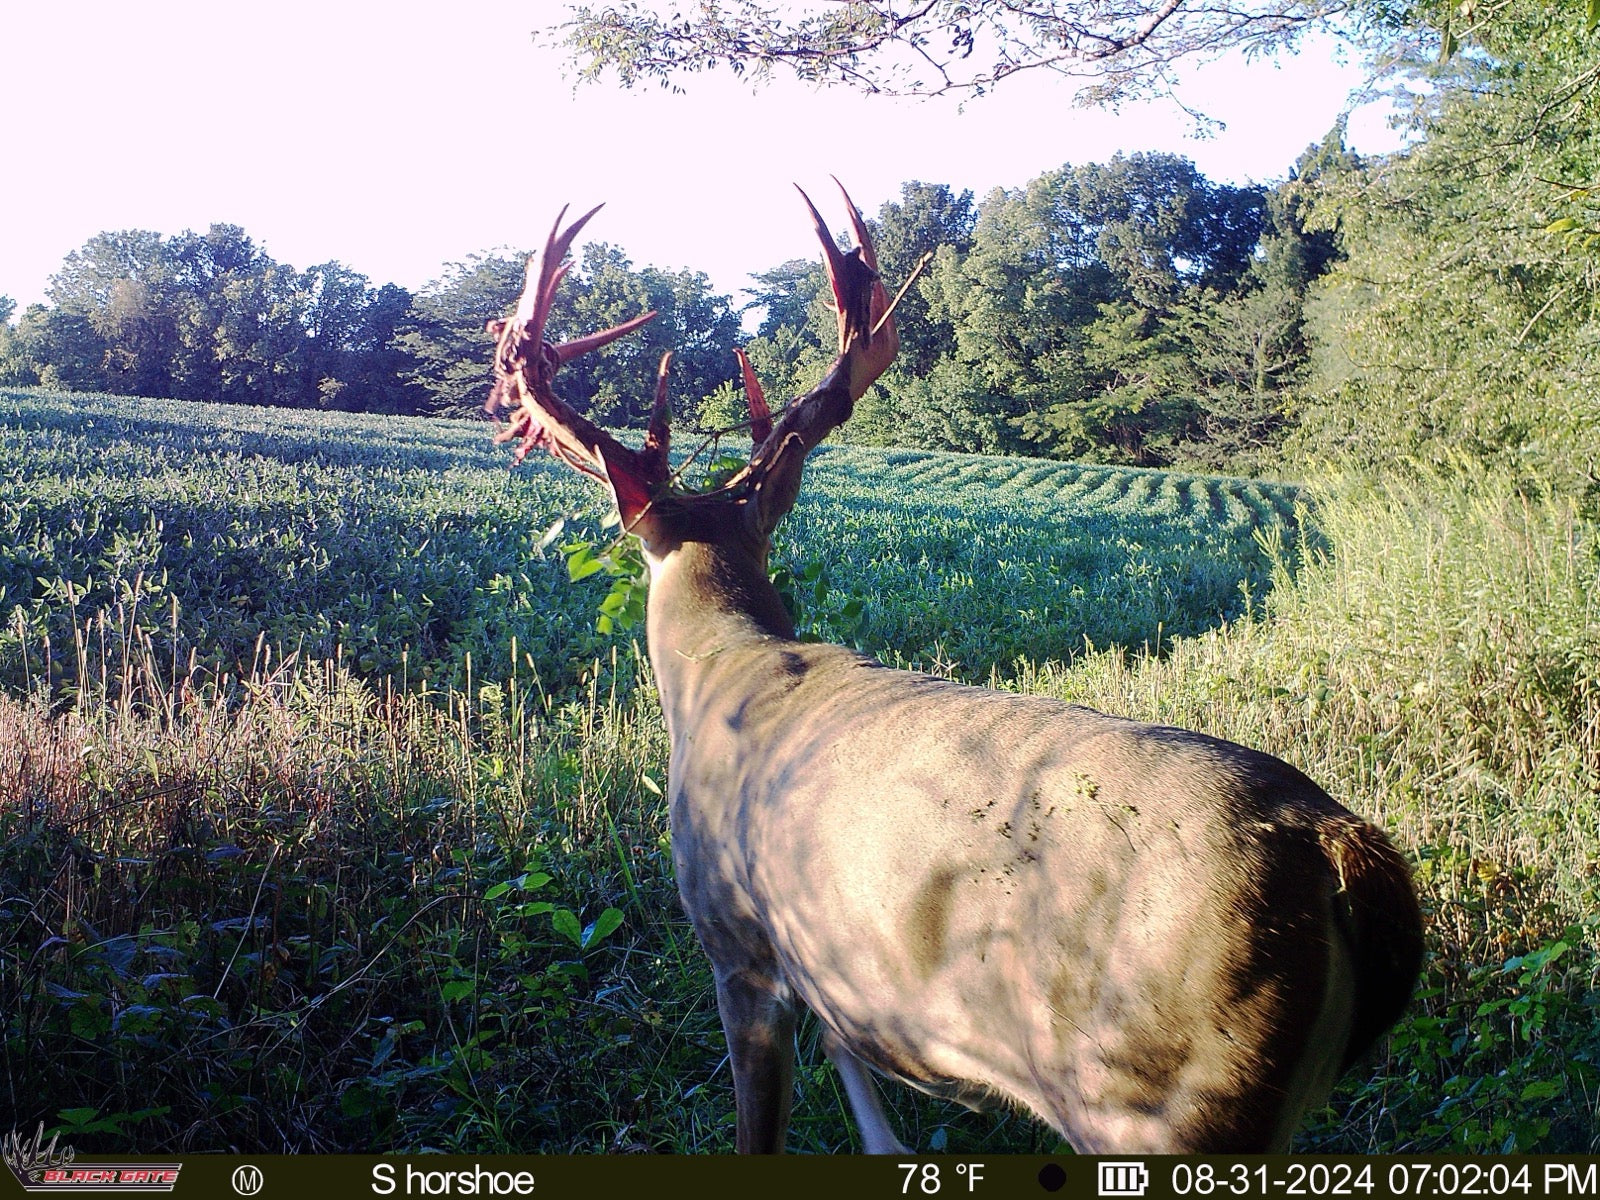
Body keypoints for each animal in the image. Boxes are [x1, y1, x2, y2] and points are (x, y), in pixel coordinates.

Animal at [485, 184, 1424, 1155]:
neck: (725, 668)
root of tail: (1340, 848)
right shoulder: (829, 962)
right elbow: (865, 1098)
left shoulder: (737, 944)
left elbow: (760, 1131)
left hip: (1163, 1099)